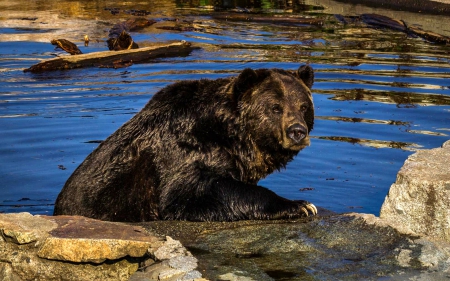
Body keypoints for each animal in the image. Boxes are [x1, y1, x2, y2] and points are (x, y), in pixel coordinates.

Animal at [53, 65, 316, 221]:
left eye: (304, 106)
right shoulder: (183, 151)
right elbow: (191, 195)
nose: (297, 131)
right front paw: (300, 205)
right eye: (275, 107)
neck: (232, 138)